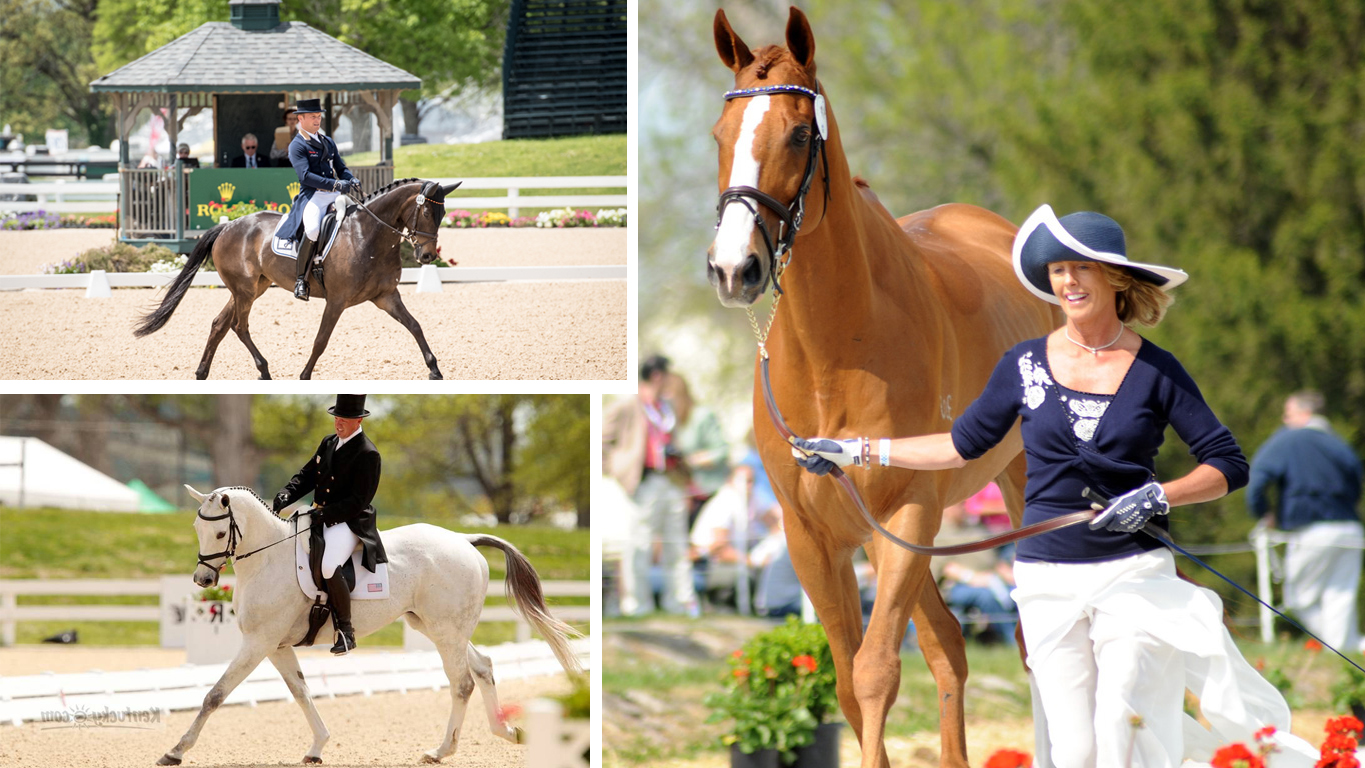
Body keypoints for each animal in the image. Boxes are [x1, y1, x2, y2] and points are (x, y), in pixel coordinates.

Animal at [135, 174, 461, 379]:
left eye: (443, 215)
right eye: (427, 214)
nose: (427, 256)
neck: (368, 235)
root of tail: (227, 226)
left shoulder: (386, 296)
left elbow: (415, 326)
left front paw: (434, 370)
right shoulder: (337, 301)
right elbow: (321, 340)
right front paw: (304, 375)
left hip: (252, 288)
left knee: (219, 325)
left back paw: (203, 373)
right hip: (244, 290)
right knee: (239, 326)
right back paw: (264, 370)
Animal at [156, 491, 584, 763]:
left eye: (219, 532)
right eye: (196, 529)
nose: (203, 580)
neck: (268, 560)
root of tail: (463, 540)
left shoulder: (258, 642)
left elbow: (215, 695)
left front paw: (175, 750)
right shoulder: (276, 646)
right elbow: (301, 692)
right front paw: (318, 747)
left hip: (446, 631)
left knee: (462, 682)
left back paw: (442, 750)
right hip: (439, 627)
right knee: (483, 668)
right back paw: (504, 732)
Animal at [709, 7, 1059, 768]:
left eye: (799, 133)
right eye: (720, 134)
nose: (733, 268)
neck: (834, 353)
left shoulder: (907, 516)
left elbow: (874, 674)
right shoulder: (814, 536)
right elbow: (846, 681)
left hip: (1017, 489)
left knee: (1032, 638)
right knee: (949, 642)